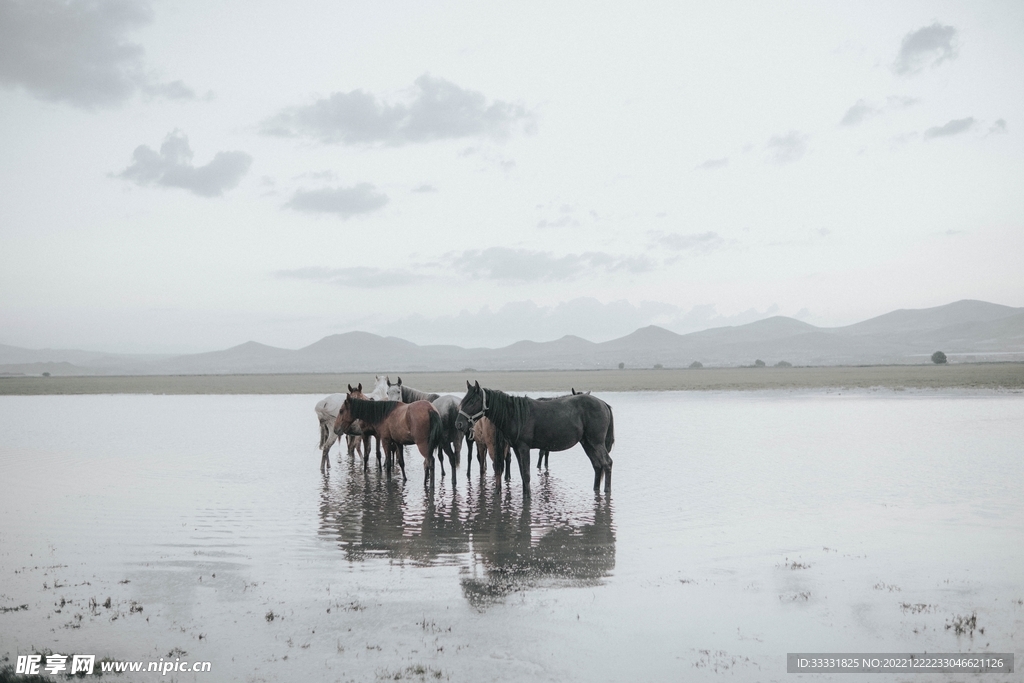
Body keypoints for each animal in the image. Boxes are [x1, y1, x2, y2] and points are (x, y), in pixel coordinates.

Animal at [455, 381, 615, 494]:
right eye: (464, 400)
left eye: (471, 401)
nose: (459, 424)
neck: (514, 414)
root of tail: (603, 404)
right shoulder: (517, 449)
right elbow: (522, 475)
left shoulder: (524, 448)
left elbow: (526, 475)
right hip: (587, 443)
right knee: (597, 465)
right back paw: (596, 490)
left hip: (596, 443)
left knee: (607, 463)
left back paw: (607, 491)